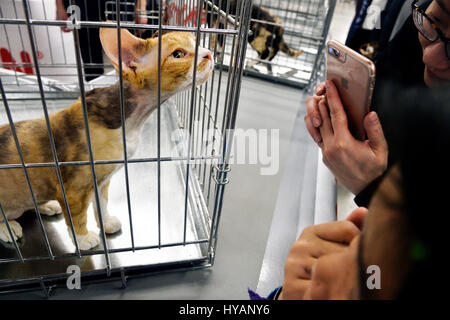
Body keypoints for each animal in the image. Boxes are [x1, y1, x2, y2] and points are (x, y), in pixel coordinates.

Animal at [0, 29, 214, 250]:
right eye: (178, 54)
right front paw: (83, 238)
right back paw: (8, 228)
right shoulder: (73, 189)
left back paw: (46, 205)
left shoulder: (102, 181)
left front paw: (106, 222)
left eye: (197, 42)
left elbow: (101, 204)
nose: (209, 53)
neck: (131, 121)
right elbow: (76, 217)